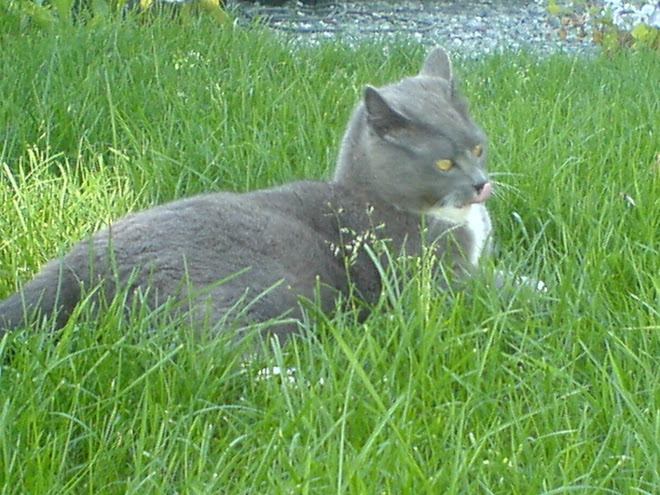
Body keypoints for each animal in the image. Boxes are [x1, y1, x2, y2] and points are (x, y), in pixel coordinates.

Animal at [0, 49, 496, 344]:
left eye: (477, 148)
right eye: (444, 164)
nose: (480, 183)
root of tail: (81, 261)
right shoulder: (437, 282)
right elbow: (495, 291)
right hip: (232, 294)